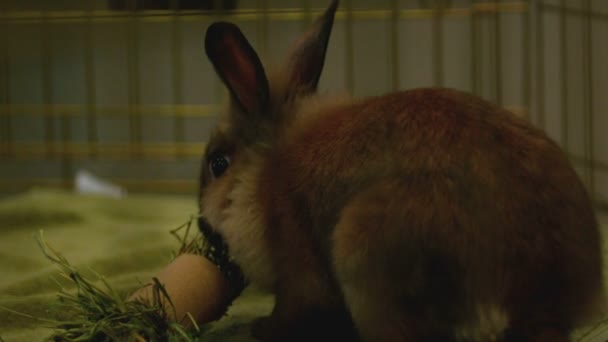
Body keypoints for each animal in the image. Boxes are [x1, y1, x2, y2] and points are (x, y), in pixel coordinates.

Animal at [198, 1, 604, 340]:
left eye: (218, 164)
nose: (203, 227)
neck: (265, 175)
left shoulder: (297, 263)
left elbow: (295, 310)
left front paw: (259, 327)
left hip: (361, 251)